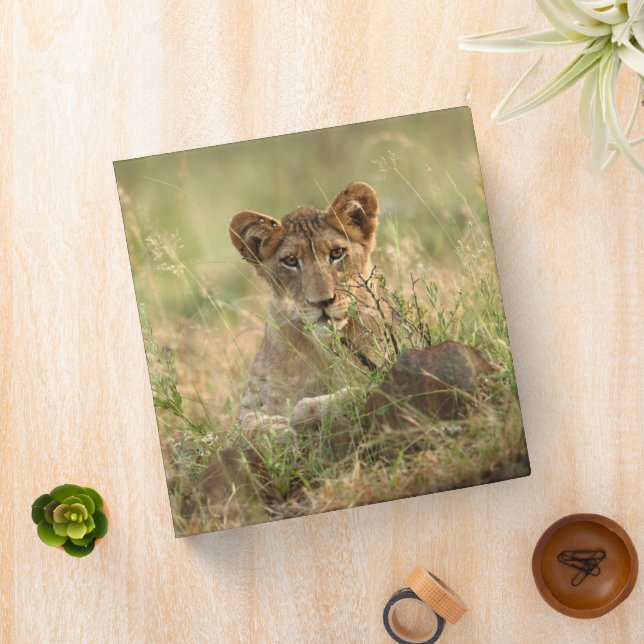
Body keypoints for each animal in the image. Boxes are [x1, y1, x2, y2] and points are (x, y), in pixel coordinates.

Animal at [228, 181, 391, 435]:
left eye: (336, 253)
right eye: (291, 261)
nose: (322, 302)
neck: (324, 350)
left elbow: (307, 407)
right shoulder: (249, 405)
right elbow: (247, 426)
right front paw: (275, 427)